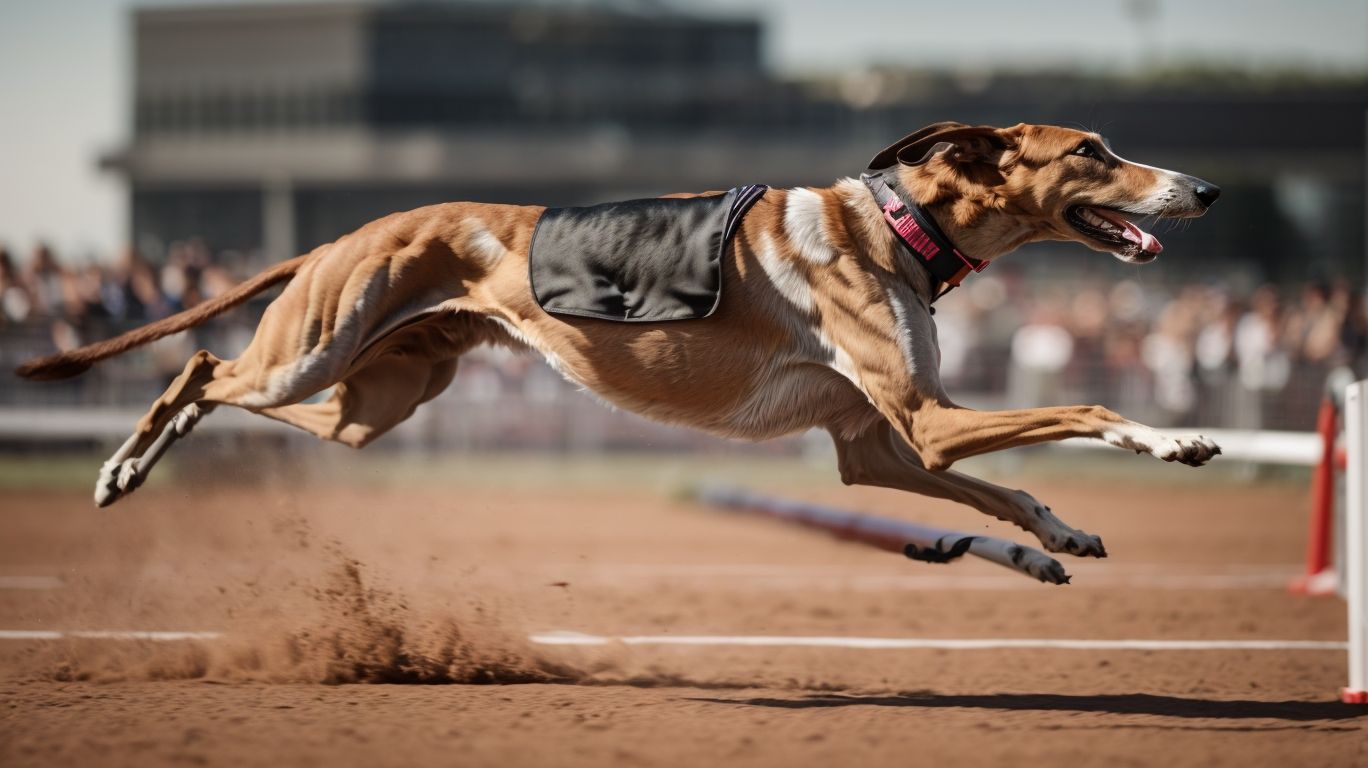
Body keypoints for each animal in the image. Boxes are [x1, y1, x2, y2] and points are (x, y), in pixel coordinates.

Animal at [18, 119, 1220, 577]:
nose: (1205, 187)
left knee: (229, 387)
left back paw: (134, 464)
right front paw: (1176, 441)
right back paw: (119, 468)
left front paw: (1061, 532)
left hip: (375, 401)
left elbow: (1008, 492)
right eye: (1092, 149)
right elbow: (1089, 409)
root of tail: (337, 233)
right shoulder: (922, 423)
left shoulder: (883, 448)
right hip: (307, 353)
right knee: (201, 368)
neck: (895, 222)